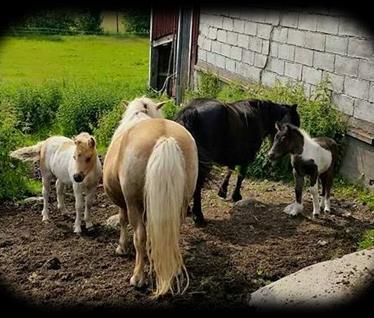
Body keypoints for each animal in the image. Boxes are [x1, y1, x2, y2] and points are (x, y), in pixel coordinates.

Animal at [101, 97, 196, 298]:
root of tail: (165, 138)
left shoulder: (125, 203)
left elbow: (122, 220)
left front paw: (122, 247)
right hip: (182, 203)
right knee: (172, 233)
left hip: (133, 203)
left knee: (140, 236)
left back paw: (138, 278)